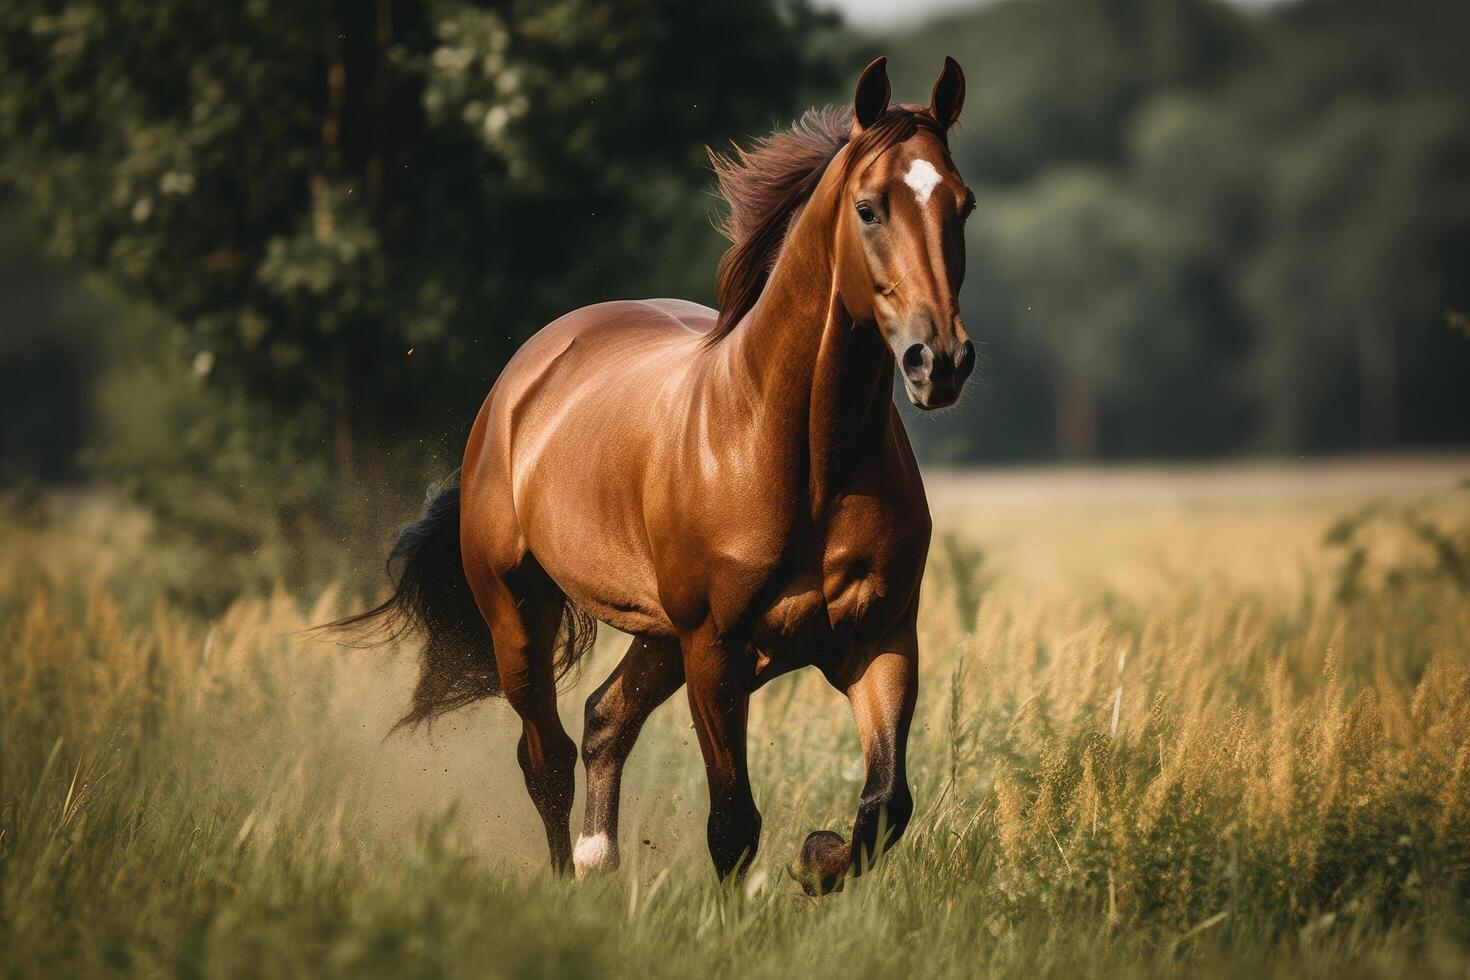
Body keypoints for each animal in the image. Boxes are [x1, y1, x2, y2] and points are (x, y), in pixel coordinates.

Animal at [335, 55, 976, 899]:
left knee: (605, 719)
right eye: (869, 208)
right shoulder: (715, 651)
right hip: (521, 615)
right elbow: (733, 823)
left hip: (659, 635)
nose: (941, 362)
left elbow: (884, 806)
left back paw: (596, 859)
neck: (802, 460)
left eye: (962, 206)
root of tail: (518, 384)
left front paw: (816, 859)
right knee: (546, 758)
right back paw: (567, 879)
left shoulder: (881, 638)